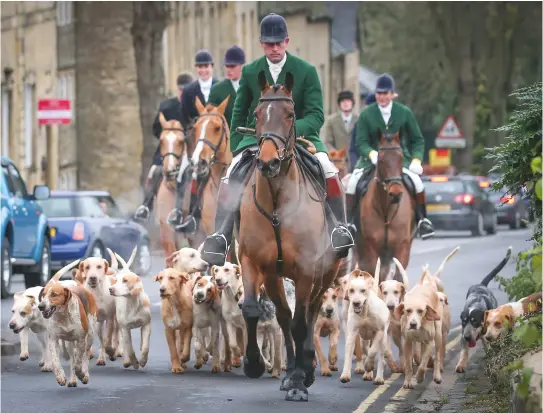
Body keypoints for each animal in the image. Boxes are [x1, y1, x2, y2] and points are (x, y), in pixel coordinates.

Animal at [237, 71, 342, 402]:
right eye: (258, 113)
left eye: (290, 114)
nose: (268, 162)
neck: (277, 204)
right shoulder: (253, 262)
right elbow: (254, 309)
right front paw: (254, 364)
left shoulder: (308, 269)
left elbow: (300, 323)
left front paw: (298, 383)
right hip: (275, 277)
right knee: (285, 316)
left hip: (325, 273)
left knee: (309, 313)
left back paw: (305, 369)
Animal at [356, 132, 416, 284]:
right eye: (381, 160)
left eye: (401, 158)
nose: (396, 193)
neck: (386, 210)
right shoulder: (371, 248)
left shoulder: (402, 246)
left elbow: (399, 277)